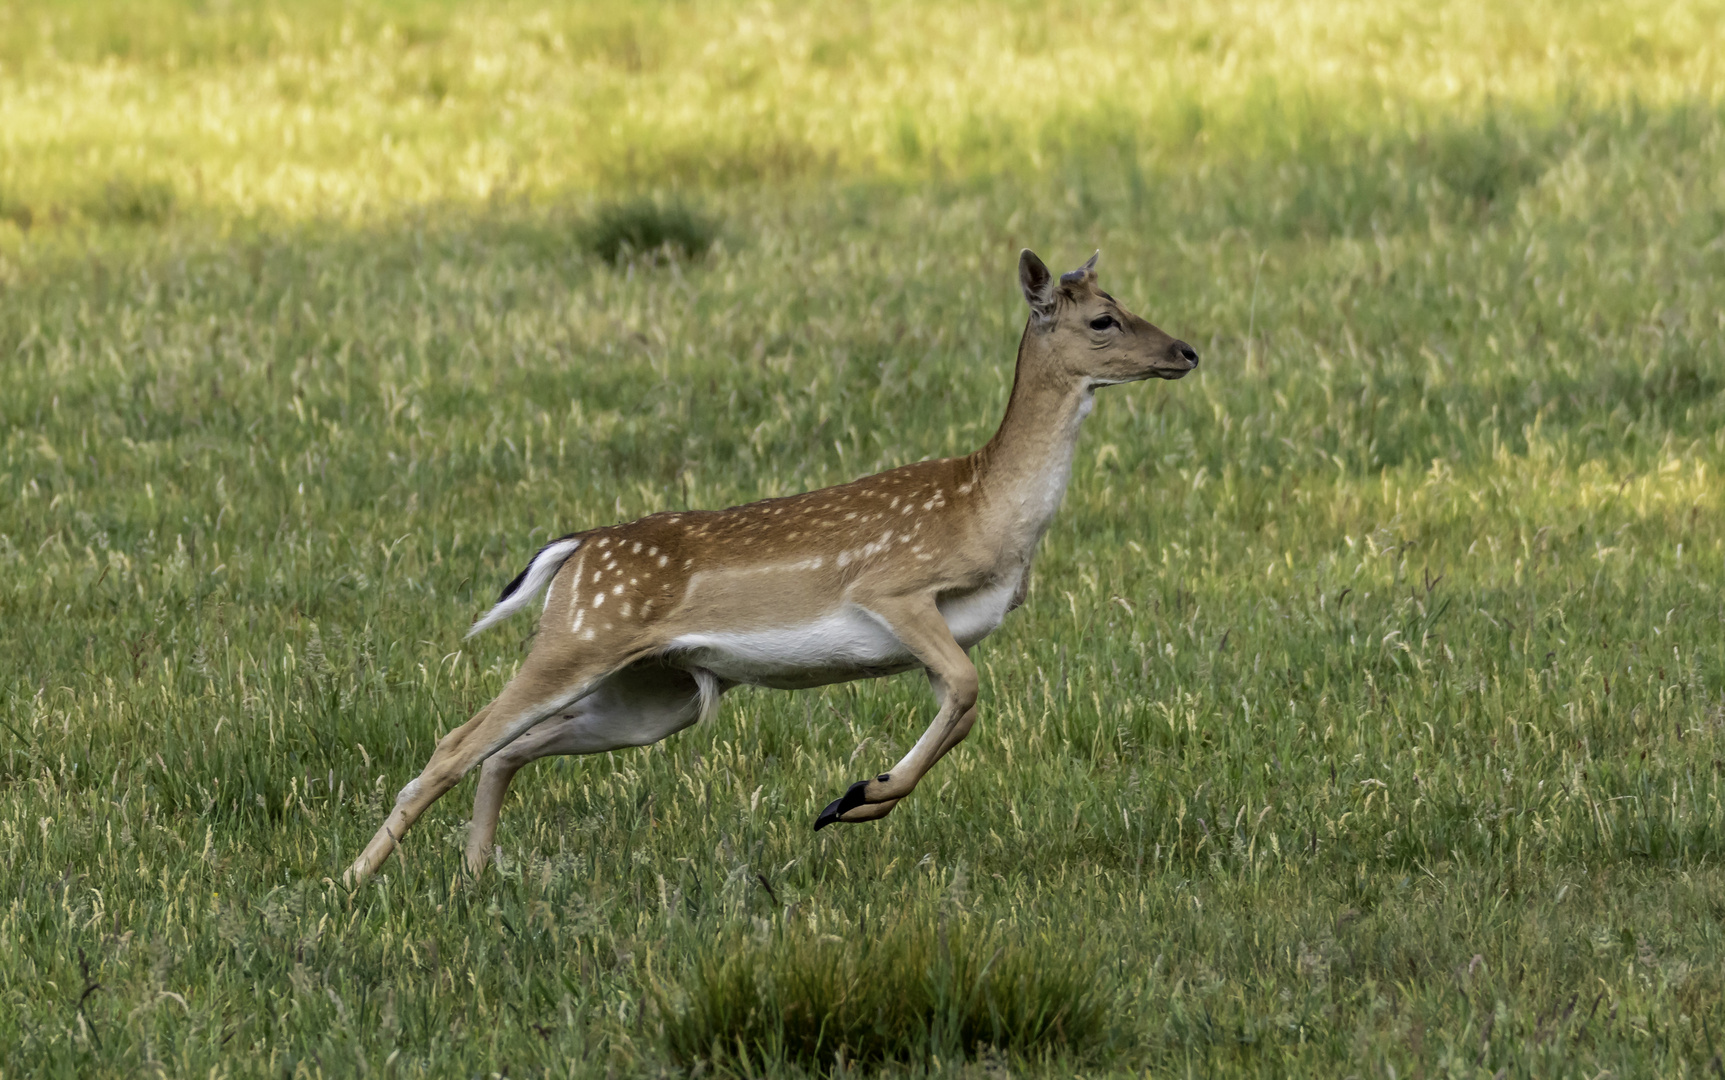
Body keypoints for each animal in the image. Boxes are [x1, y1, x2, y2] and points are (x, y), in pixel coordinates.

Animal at [343, 248, 1193, 879]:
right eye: (1103, 318)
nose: (1185, 350)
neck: (987, 506)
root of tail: (576, 549)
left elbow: (964, 710)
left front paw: (856, 798)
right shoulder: (891, 587)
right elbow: (966, 689)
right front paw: (856, 796)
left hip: (653, 694)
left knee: (505, 751)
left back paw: (474, 876)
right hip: (579, 639)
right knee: (456, 744)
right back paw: (351, 884)